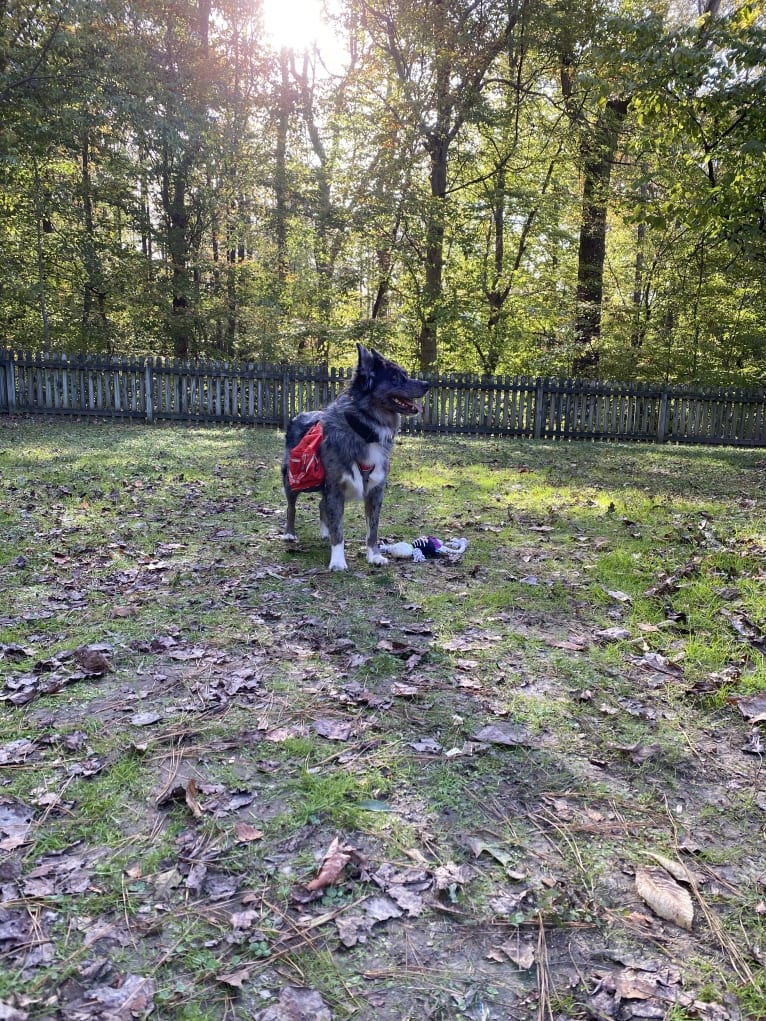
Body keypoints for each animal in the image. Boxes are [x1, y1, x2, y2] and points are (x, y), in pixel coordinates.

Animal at [283, 341, 428, 567]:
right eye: (395, 377)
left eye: (404, 374)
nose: (427, 384)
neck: (365, 430)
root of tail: (299, 415)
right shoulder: (335, 487)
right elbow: (338, 529)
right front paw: (338, 560)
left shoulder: (375, 490)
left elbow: (372, 529)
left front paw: (374, 555)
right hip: (294, 478)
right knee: (292, 506)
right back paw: (290, 533)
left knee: (321, 504)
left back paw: (324, 532)